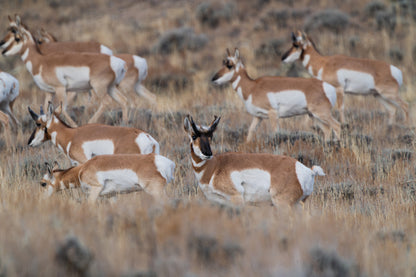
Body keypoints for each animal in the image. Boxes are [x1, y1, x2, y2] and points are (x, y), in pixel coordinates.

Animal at [0, 15, 129, 126]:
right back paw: (124, 124)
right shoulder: (49, 92)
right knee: (123, 100)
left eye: (17, 38)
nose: (3, 49)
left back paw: (90, 123)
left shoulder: (60, 89)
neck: (40, 61)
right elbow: (47, 108)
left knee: (106, 102)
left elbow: (62, 109)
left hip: (98, 88)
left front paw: (74, 126)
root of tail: (115, 61)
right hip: (110, 88)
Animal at [39, 153, 175, 201]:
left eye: (43, 183)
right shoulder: (112, 195)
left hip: (156, 191)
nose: (40, 199)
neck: (81, 170)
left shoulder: (95, 190)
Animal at [184, 114, 324, 207]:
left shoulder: (236, 199)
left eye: (210, 136)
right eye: (194, 136)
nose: (207, 153)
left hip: (283, 204)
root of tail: (308, 170)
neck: (214, 167)